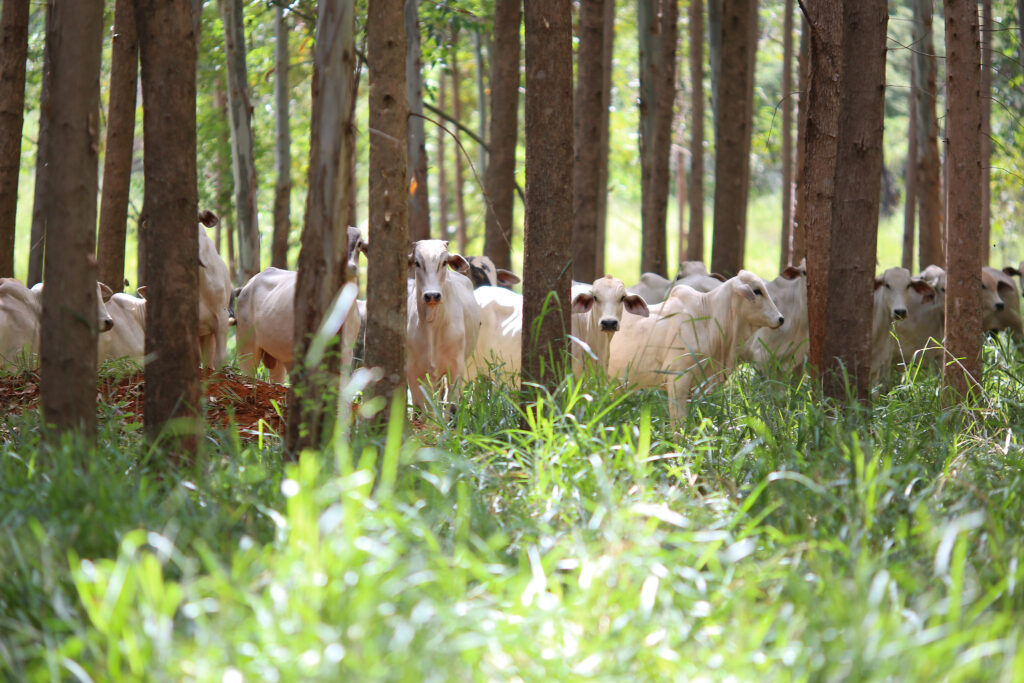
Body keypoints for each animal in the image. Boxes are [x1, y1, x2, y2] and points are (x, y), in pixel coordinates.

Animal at [405, 240, 481, 405]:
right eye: (417, 263)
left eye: (444, 262)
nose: (432, 295)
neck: (432, 326)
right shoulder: (414, 371)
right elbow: (420, 407)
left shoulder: (456, 367)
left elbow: (451, 405)